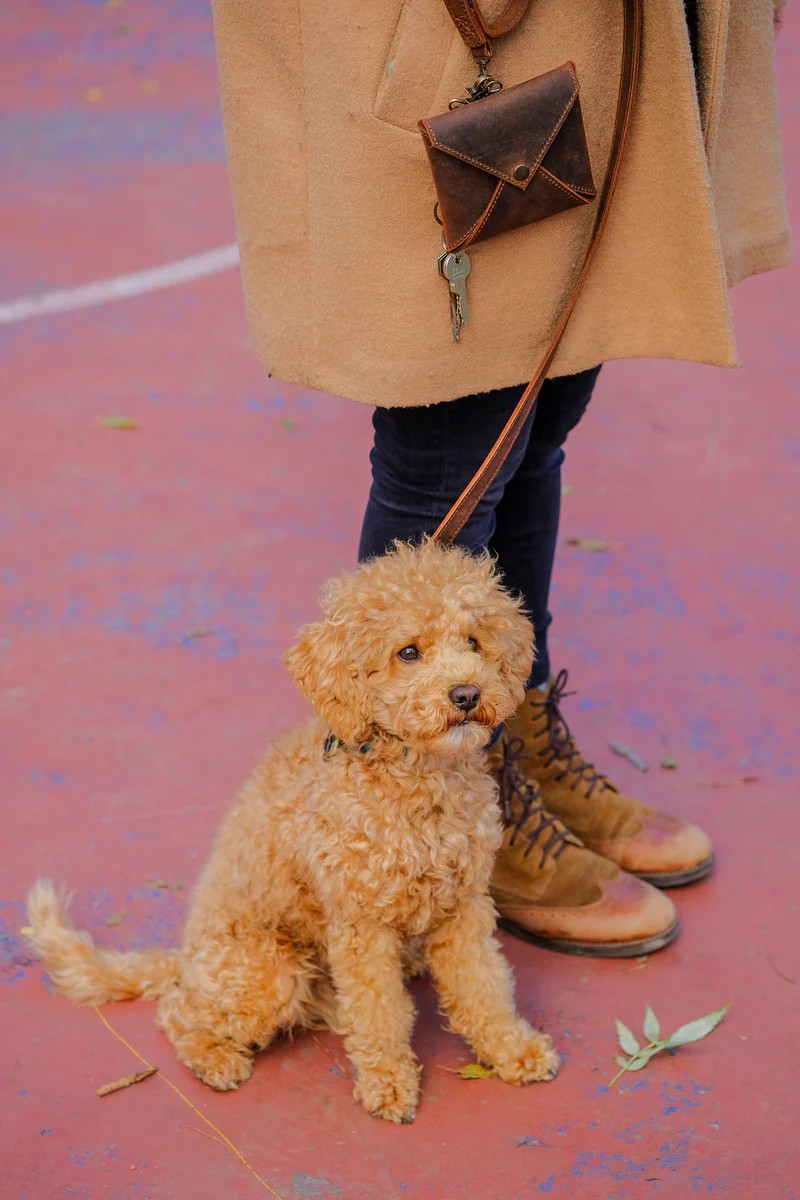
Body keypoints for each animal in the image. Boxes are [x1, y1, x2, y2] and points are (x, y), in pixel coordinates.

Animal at [28, 540, 561, 1118]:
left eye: (473, 641)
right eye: (408, 653)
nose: (466, 694)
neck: (417, 783)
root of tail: (187, 959)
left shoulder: (465, 906)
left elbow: (485, 986)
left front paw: (513, 1051)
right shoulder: (360, 924)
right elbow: (378, 1012)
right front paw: (388, 1082)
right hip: (267, 972)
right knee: (176, 1010)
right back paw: (215, 1057)